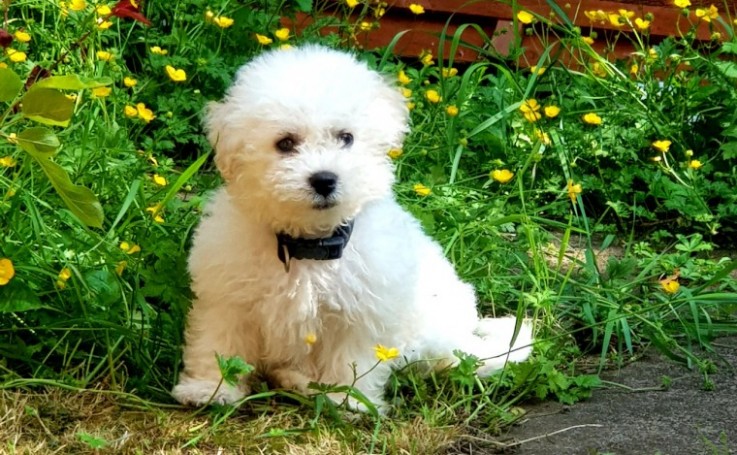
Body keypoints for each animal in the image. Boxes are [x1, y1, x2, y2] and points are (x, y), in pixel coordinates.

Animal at [172, 45, 528, 410]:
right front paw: (210, 388)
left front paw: (346, 398)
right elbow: (219, 342)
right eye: (285, 143)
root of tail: (460, 338)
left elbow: (350, 357)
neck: (309, 247)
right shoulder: (228, 298)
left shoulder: (362, 311)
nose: (324, 179)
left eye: (346, 138)